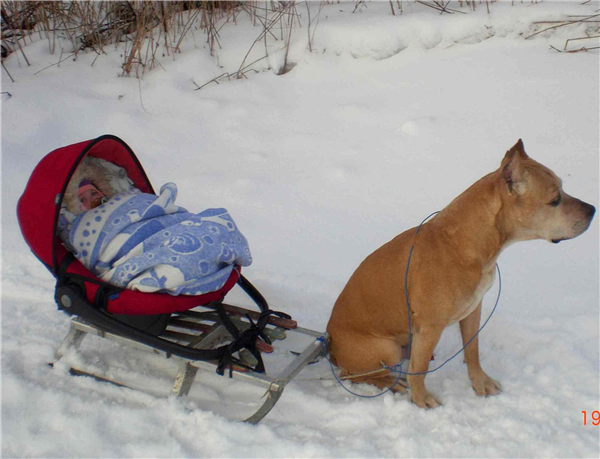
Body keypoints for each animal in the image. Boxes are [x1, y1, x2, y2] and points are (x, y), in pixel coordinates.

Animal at [328, 140, 596, 410]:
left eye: (563, 188)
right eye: (555, 200)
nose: (593, 210)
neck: (466, 242)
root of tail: (331, 346)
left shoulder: (473, 311)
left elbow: (472, 350)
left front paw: (479, 382)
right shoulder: (431, 325)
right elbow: (419, 369)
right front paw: (421, 398)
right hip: (385, 348)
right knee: (355, 374)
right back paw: (390, 382)